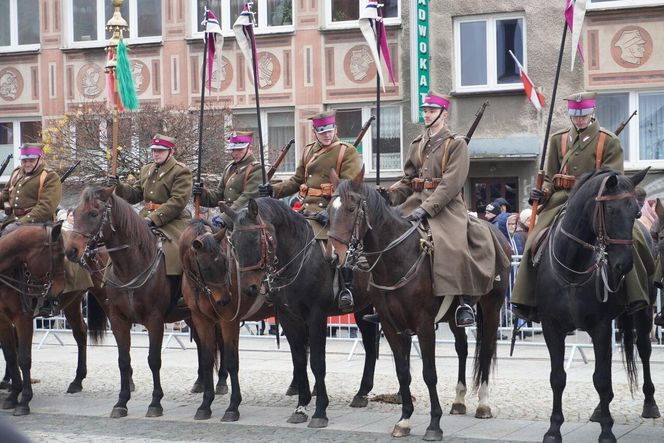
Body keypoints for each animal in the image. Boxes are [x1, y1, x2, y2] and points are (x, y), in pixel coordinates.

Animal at [0, 225, 66, 416]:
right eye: (60, 254)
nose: (61, 289)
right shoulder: (3, 321)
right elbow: (10, 357)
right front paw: (13, 395)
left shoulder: (23, 319)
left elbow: (24, 358)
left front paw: (24, 401)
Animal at [63, 187, 192, 420]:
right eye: (74, 213)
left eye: (94, 213)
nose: (71, 251)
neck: (131, 266)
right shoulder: (118, 319)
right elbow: (123, 360)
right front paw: (121, 402)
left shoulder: (155, 320)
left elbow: (154, 360)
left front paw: (155, 402)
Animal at [224, 199, 378, 428]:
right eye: (233, 243)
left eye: (256, 239)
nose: (248, 288)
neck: (296, 257)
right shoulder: (289, 318)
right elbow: (299, 360)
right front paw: (301, 406)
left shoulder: (316, 316)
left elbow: (317, 362)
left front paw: (320, 411)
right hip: (363, 307)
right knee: (369, 343)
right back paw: (361, 393)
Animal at [326, 170, 508, 440]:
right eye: (328, 211)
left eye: (350, 208)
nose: (333, 257)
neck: (396, 258)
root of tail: (495, 232)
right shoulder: (391, 326)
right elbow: (403, 372)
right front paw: (404, 420)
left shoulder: (423, 325)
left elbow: (429, 373)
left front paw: (434, 424)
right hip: (453, 317)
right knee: (462, 348)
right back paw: (459, 400)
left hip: (492, 307)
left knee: (485, 349)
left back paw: (483, 404)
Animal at [536, 168, 648, 442]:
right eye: (611, 211)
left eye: (636, 213)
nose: (623, 266)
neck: (573, 266)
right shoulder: (551, 326)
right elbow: (558, 377)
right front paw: (553, 429)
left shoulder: (601, 327)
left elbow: (601, 379)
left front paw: (607, 431)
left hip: (644, 312)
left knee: (644, 349)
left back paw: (650, 405)